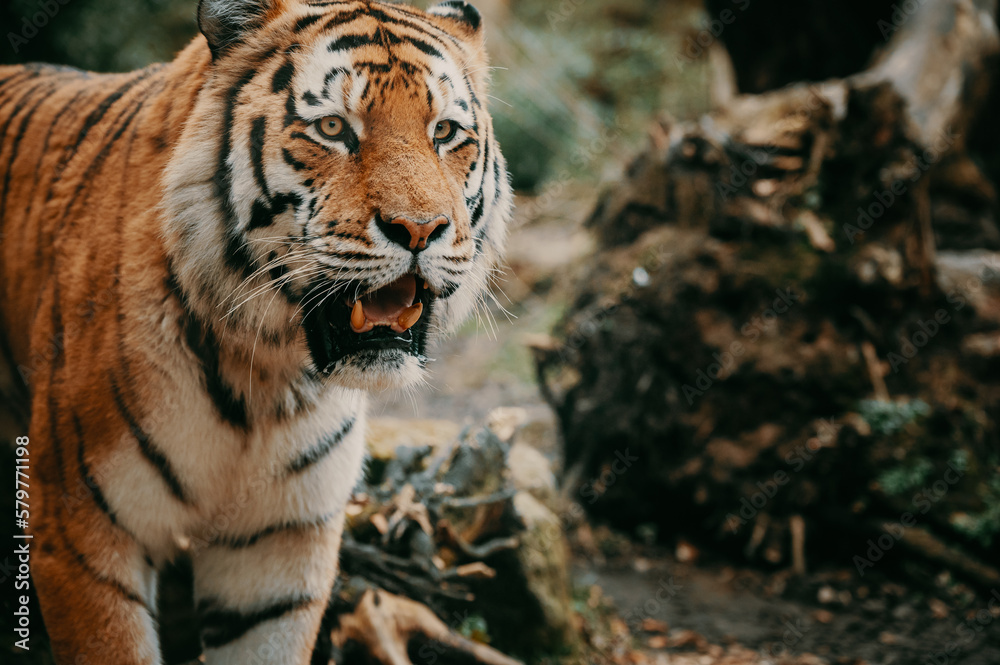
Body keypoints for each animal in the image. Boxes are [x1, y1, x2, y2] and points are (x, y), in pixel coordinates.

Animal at [0, 0, 511, 662]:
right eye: (333, 129)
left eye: (445, 132)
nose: (420, 229)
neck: (268, 377)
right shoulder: (80, 533)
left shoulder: (280, 552)